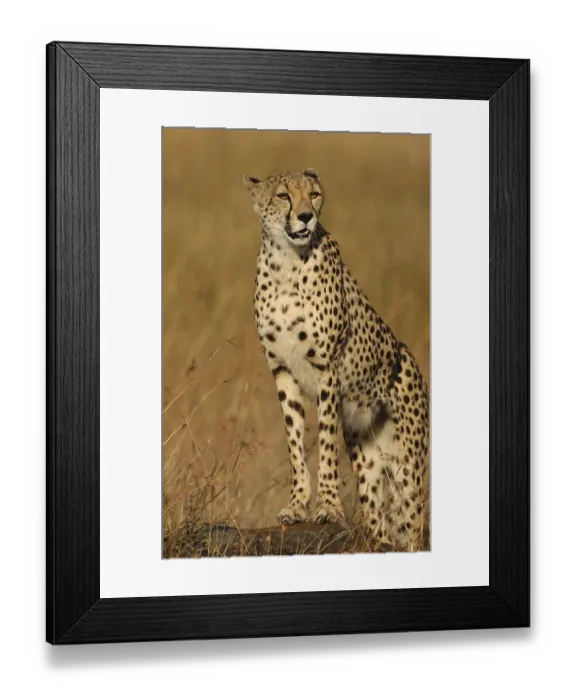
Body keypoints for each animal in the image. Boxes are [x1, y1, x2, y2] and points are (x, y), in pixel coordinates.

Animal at [243, 168, 429, 551]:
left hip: (407, 474)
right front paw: (297, 505)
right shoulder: (281, 369)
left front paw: (327, 507)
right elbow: (295, 441)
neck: (285, 262)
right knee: (378, 524)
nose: (305, 216)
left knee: (413, 528)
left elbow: (326, 438)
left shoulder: (325, 367)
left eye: (314, 194)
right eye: (283, 195)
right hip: (370, 465)